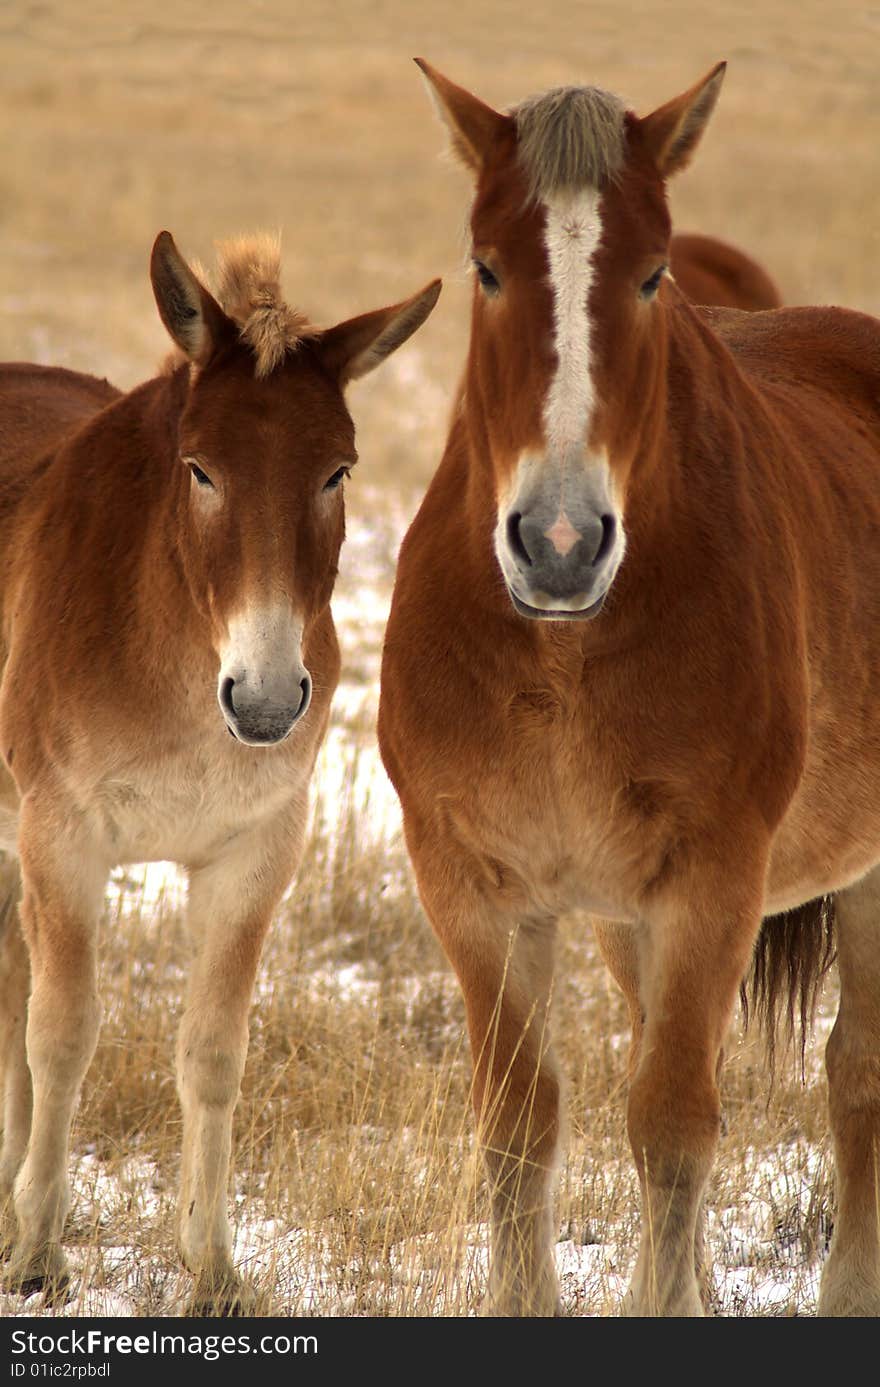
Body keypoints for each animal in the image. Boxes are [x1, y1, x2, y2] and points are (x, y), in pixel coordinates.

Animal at [0, 233, 438, 1303]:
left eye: (338, 470)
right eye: (200, 468)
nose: (269, 700)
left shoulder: (253, 855)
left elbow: (212, 1052)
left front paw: (213, 1267)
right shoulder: (63, 839)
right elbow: (60, 1033)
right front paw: (39, 1256)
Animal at [380, 59, 877, 1314]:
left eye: (654, 272)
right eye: (484, 265)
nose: (559, 543)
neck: (560, 656)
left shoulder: (712, 882)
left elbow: (671, 1124)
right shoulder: (476, 889)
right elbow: (519, 1127)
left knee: (854, 1070)